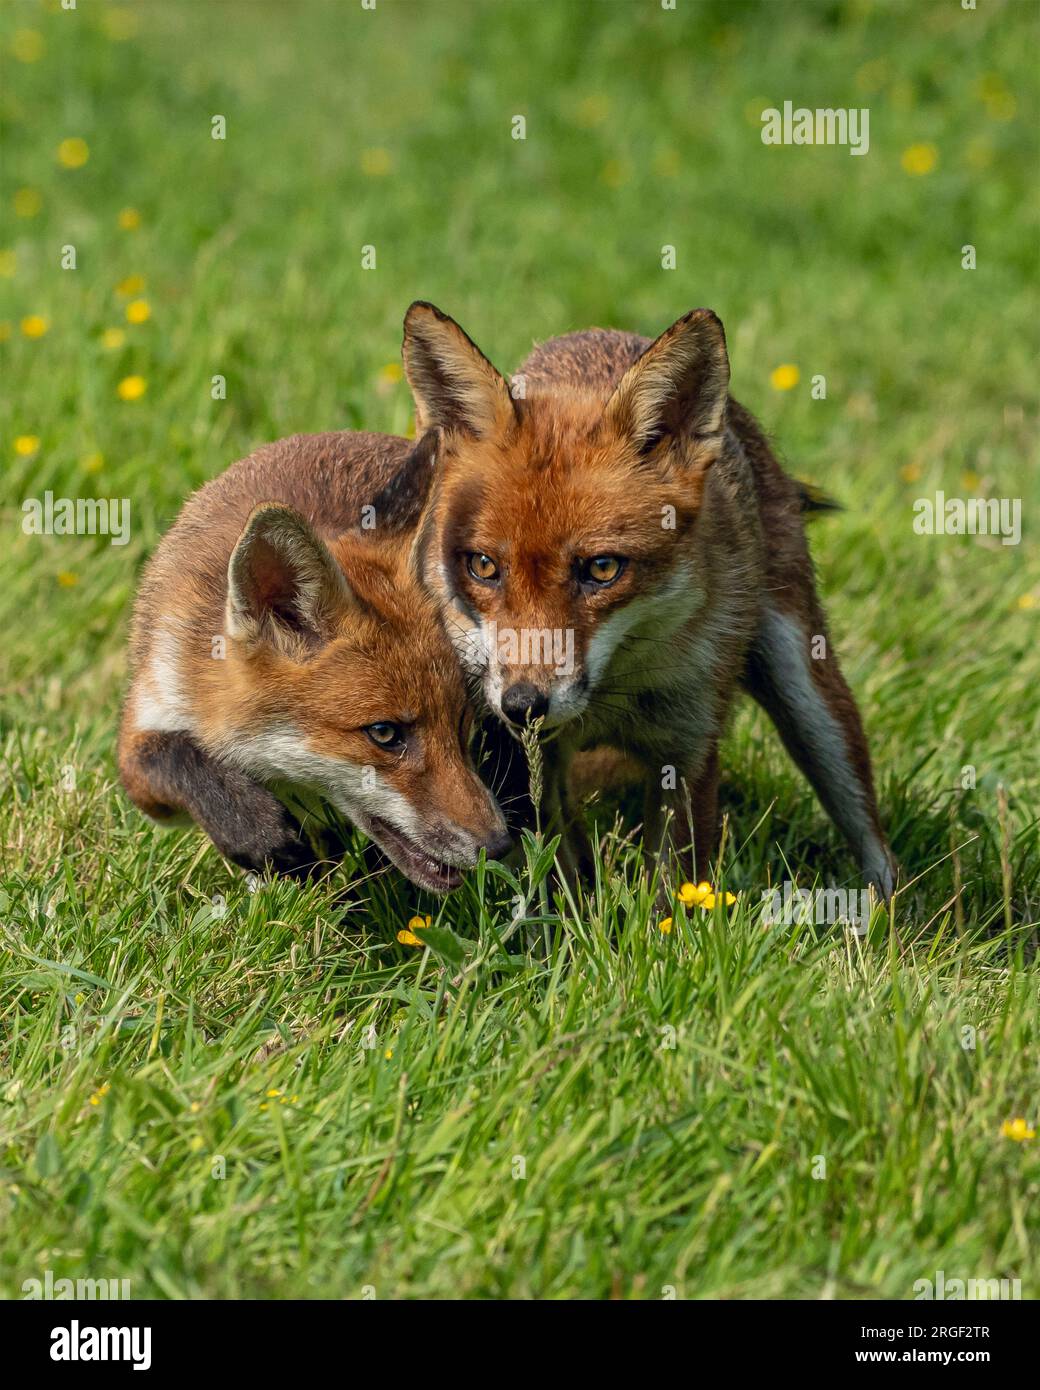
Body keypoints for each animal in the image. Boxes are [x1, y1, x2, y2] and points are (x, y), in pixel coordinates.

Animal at [117, 429, 510, 892]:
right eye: (384, 733)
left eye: (461, 722)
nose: (498, 845)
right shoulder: (145, 731)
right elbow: (176, 756)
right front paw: (256, 831)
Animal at [399, 300, 896, 899]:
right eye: (484, 567)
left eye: (602, 569)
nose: (524, 705)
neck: (610, 697)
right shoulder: (528, 762)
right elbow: (561, 882)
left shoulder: (687, 752)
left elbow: (671, 894)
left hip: (810, 699)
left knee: (874, 841)